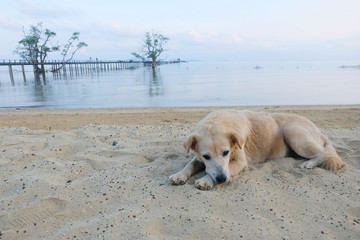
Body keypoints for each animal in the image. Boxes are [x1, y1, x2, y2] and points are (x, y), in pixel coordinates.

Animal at [169, 109, 346, 190]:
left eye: (226, 153)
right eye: (206, 156)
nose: (220, 179)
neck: (220, 121)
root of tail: (318, 129)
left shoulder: (239, 162)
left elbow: (222, 169)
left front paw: (206, 180)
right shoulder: (199, 157)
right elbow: (190, 165)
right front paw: (179, 175)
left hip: (293, 132)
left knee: (328, 153)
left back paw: (308, 164)